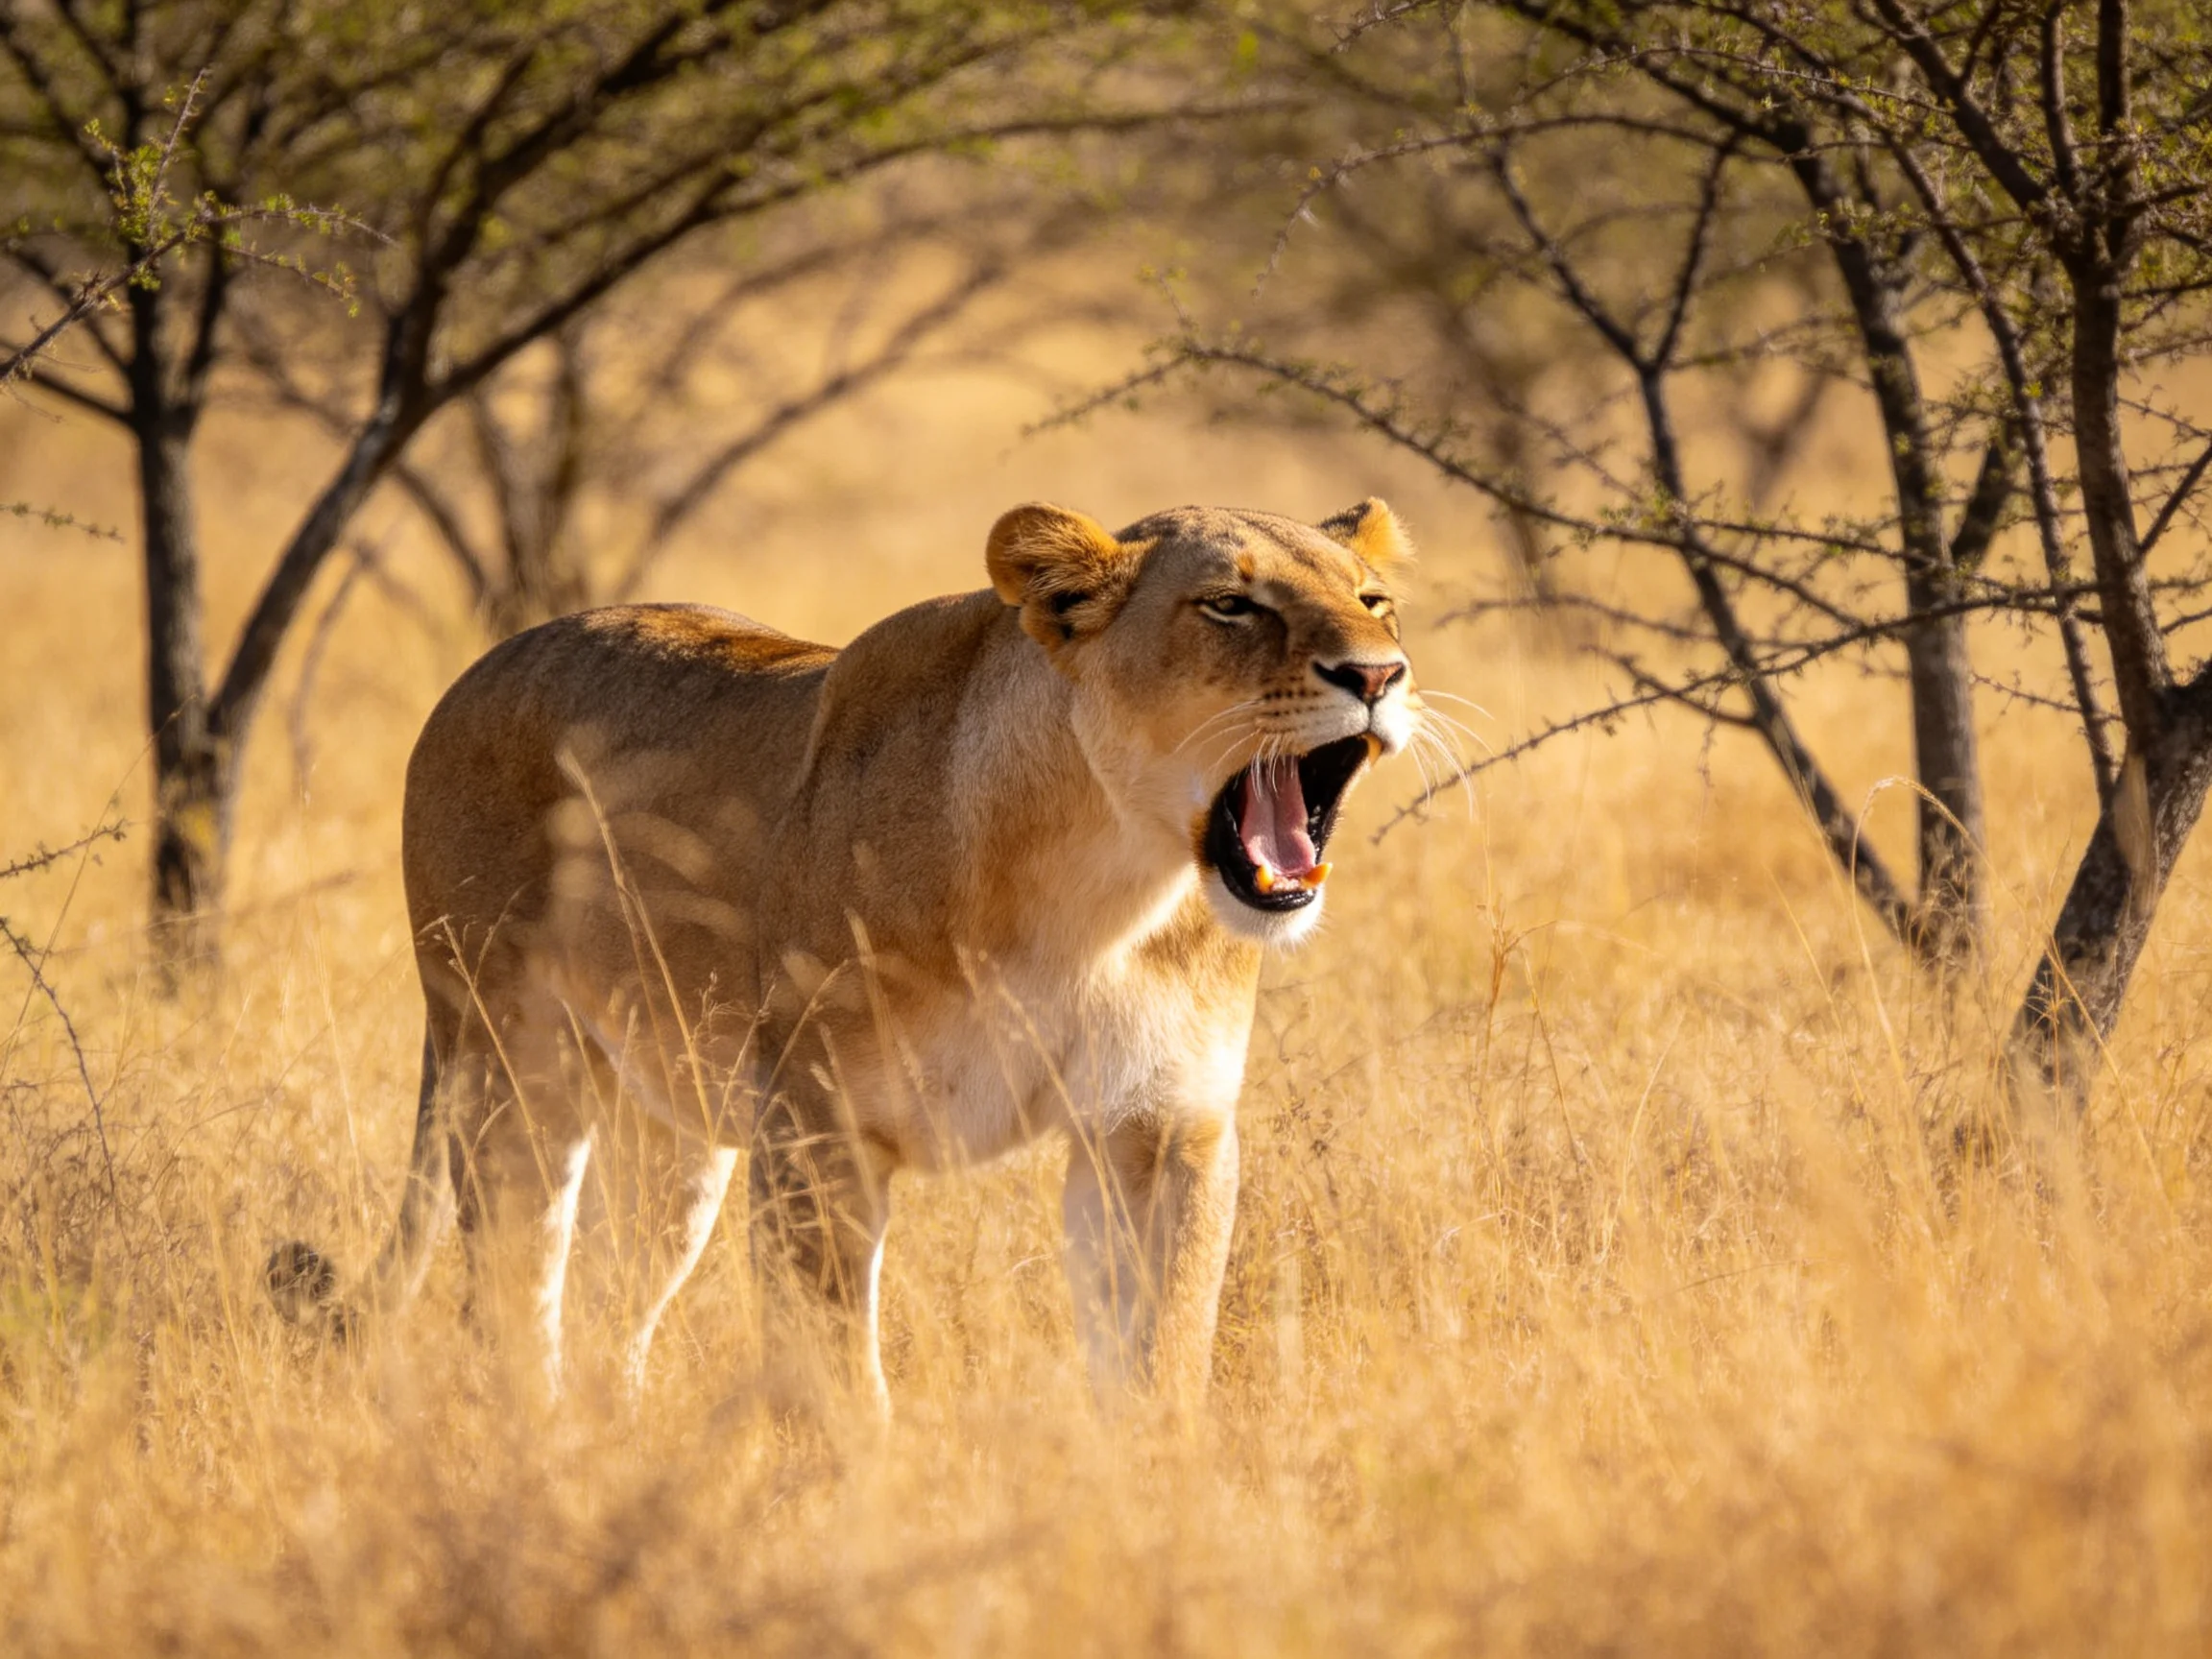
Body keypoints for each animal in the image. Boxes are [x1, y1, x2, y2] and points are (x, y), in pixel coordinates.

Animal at [267, 499, 1417, 1404]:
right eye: (1230, 605)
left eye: (1374, 601)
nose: (1379, 675)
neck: (1101, 890)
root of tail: (489, 659)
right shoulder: (817, 1132)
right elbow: (835, 1386)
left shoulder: (1160, 1131)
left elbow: (1161, 1362)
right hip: (510, 1069)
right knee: (510, 1303)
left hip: (670, 1134)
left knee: (606, 1312)